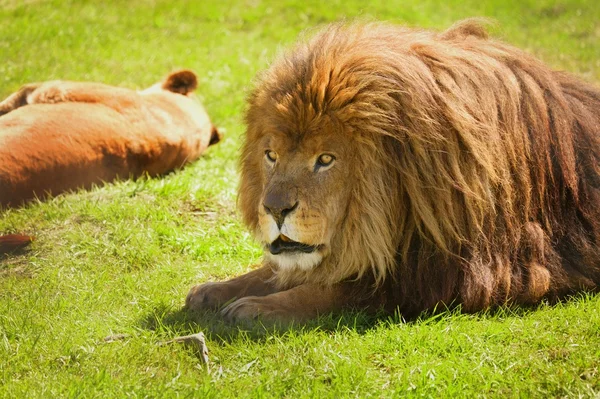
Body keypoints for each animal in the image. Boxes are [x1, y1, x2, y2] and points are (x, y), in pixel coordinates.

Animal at [186, 19, 600, 324]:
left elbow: (337, 289)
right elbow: (274, 272)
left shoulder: (445, 273)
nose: (274, 209)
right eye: (271, 155)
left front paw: (258, 308)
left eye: (325, 160)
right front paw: (213, 290)